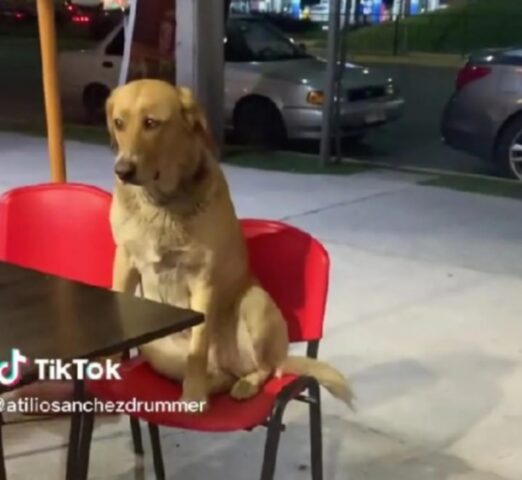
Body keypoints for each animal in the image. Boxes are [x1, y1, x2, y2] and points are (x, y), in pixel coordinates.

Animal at [106, 79, 352, 408]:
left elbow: (198, 344)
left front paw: (193, 394)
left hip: (254, 304)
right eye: (119, 123)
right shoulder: (125, 262)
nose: (123, 170)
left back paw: (244, 384)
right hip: (155, 349)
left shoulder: (203, 281)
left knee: (266, 368)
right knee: (222, 375)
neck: (162, 203)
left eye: (151, 123)